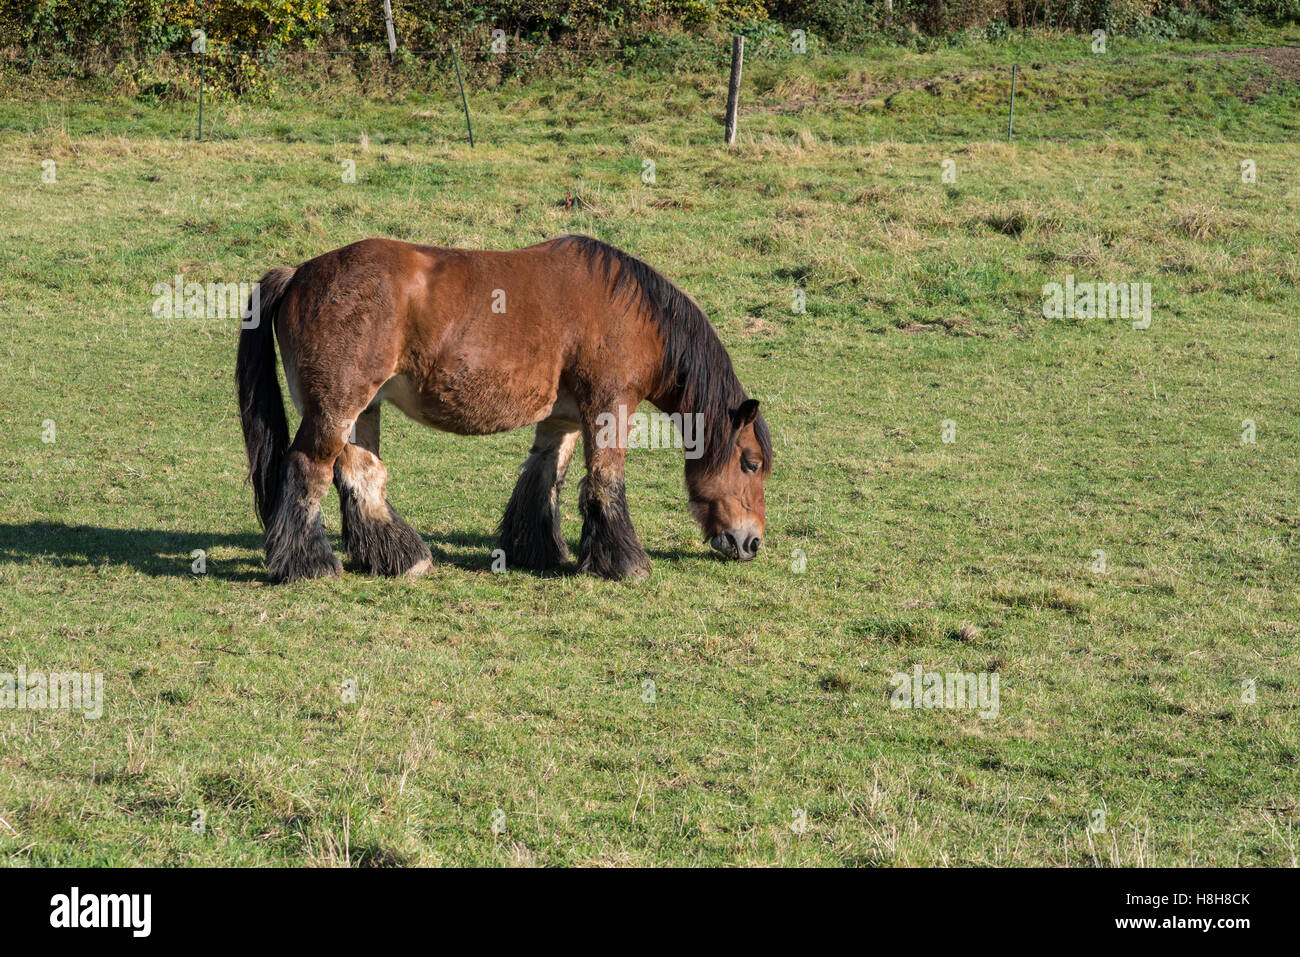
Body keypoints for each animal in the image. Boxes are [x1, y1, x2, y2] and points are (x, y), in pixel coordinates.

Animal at [236, 236, 769, 587]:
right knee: (309, 469)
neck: (635, 314)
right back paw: (310, 566)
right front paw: (626, 563)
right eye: (751, 463)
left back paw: (400, 558)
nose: (752, 544)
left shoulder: (563, 418)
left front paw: (538, 550)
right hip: (336, 409)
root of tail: (298, 275)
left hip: (361, 411)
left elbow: (545, 477)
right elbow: (606, 482)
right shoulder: (608, 407)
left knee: (361, 475)